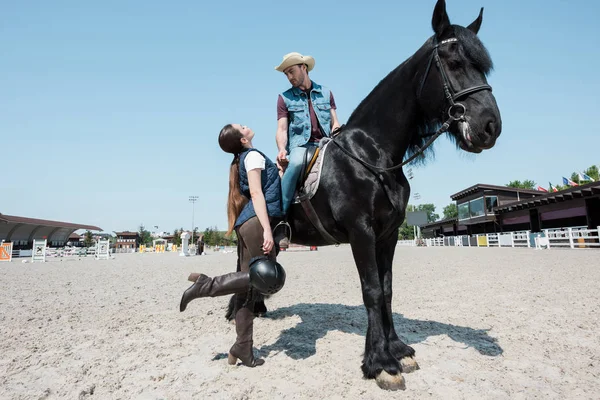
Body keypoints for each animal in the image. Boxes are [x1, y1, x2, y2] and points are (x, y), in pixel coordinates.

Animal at [233, 0, 502, 390]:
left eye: (482, 65)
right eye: (454, 62)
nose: (490, 126)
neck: (372, 154)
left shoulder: (386, 235)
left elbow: (386, 289)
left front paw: (399, 350)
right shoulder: (361, 232)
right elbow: (371, 290)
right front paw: (380, 363)